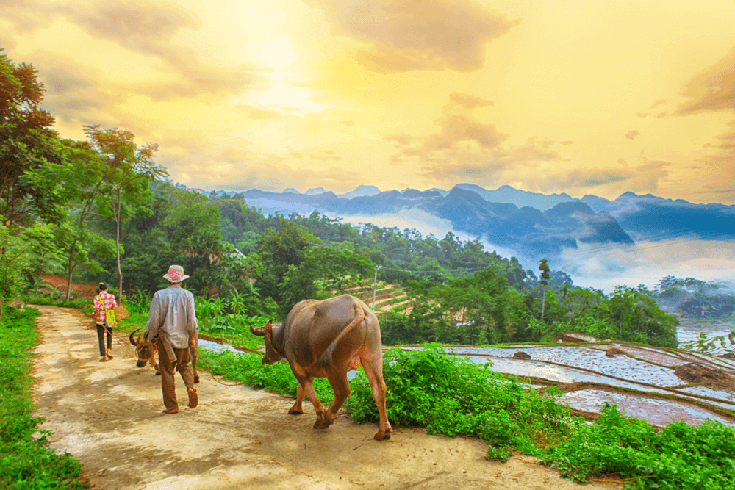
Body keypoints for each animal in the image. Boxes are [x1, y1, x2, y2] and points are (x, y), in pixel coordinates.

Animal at [252, 294, 394, 440]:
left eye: (264, 340)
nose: (264, 359)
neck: (285, 332)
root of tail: (358, 307)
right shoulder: (310, 369)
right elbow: (301, 389)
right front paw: (296, 408)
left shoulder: (296, 366)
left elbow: (308, 390)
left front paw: (319, 415)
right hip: (373, 355)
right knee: (379, 388)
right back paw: (384, 431)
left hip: (335, 365)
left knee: (342, 391)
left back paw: (326, 419)